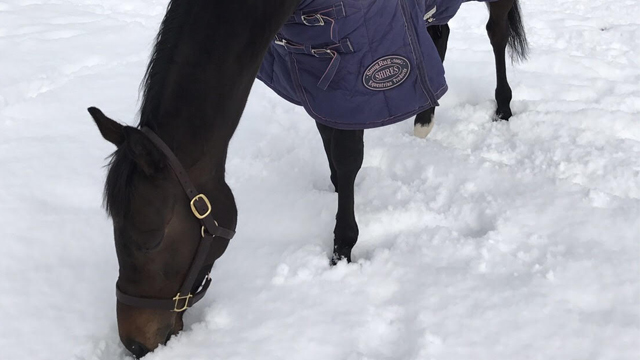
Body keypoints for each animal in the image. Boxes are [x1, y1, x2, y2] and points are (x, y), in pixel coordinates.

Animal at [87, 0, 528, 358]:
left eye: (151, 238)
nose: (134, 343)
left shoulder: (355, 64)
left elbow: (348, 158)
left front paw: (342, 248)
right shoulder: (312, 66)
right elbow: (329, 138)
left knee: (496, 31)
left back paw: (502, 108)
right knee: (440, 30)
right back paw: (424, 117)